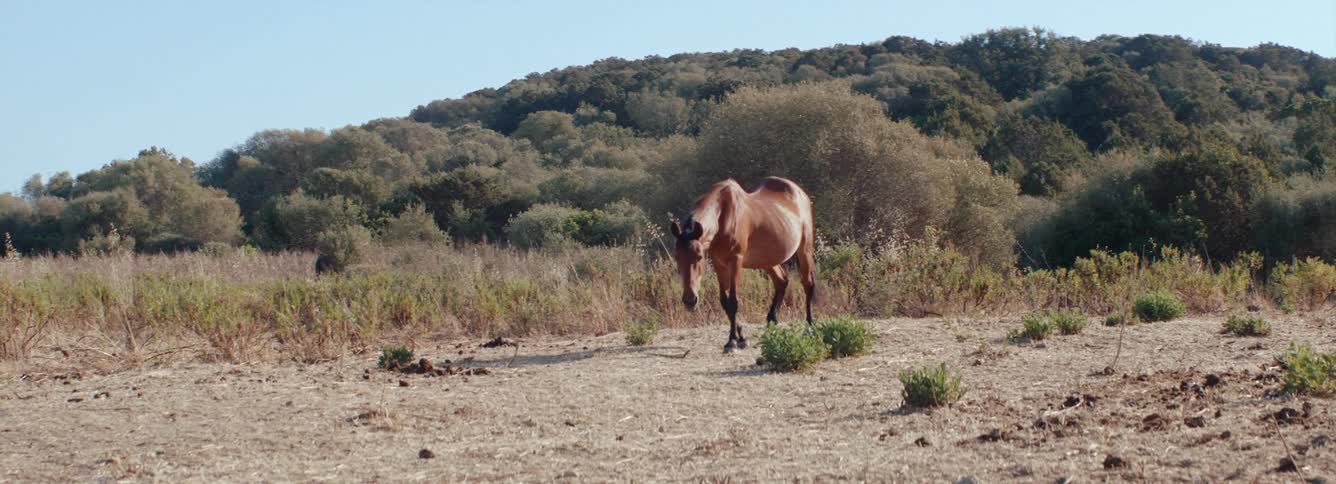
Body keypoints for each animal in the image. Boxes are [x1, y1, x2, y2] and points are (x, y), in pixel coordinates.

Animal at [670, 177, 817, 353]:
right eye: (677, 257)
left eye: (699, 257)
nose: (690, 300)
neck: (723, 215)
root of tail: (800, 193)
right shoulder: (719, 263)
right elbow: (725, 302)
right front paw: (740, 337)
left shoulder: (736, 261)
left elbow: (733, 302)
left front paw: (732, 341)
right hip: (767, 259)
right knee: (782, 281)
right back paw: (771, 321)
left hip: (804, 249)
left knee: (807, 283)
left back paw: (810, 325)